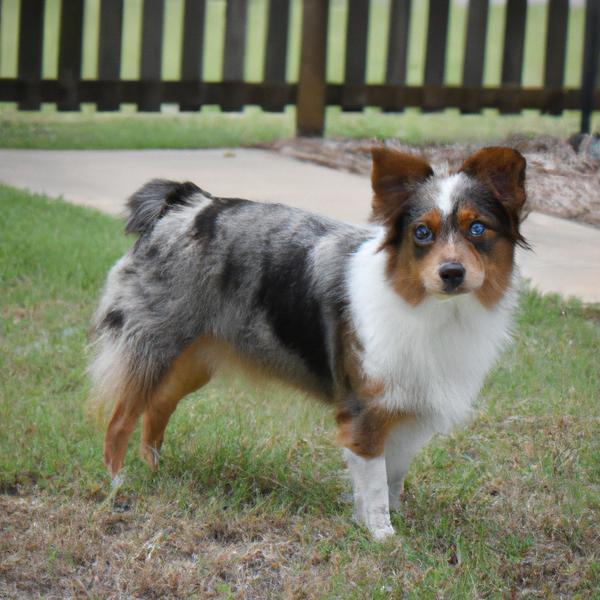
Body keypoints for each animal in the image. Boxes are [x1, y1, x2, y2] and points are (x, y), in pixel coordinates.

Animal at [88, 145, 524, 540]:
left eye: (478, 229)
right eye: (422, 233)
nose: (452, 272)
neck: (429, 307)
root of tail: (183, 204)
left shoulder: (406, 408)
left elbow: (393, 475)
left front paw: (390, 518)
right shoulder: (364, 412)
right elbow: (374, 481)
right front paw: (382, 535)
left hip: (192, 361)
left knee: (158, 407)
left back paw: (155, 471)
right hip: (154, 347)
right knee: (122, 419)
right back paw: (118, 484)